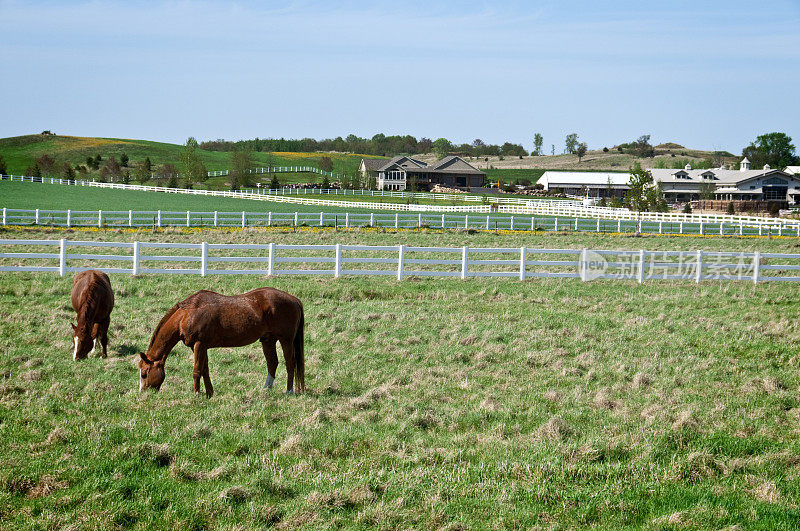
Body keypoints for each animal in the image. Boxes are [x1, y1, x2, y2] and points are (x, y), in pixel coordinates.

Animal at [138, 288, 304, 396]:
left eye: (144, 374)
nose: (144, 393)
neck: (187, 314)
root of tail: (294, 299)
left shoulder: (199, 344)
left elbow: (197, 371)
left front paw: (196, 394)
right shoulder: (200, 346)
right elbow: (205, 369)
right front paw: (209, 393)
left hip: (286, 340)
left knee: (290, 363)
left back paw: (289, 391)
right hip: (268, 340)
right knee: (272, 363)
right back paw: (266, 390)